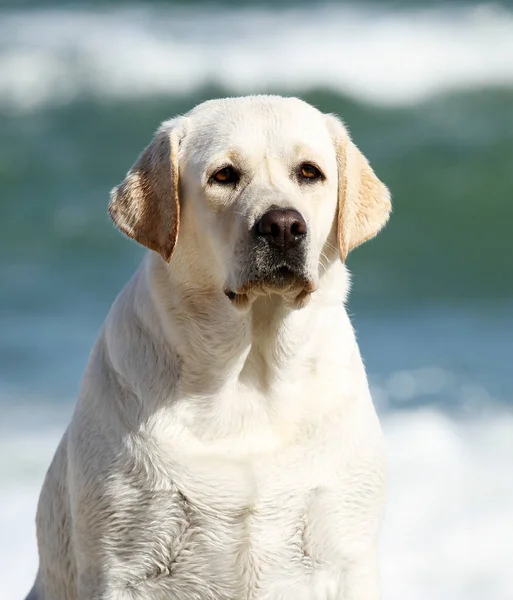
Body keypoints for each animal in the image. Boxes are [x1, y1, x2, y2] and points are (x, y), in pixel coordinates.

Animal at [27, 95, 388, 600]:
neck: (247, 375)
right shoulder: (122, 564)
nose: (283, 225)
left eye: (309, 172)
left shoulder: (346, 551)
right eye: (224, 175)